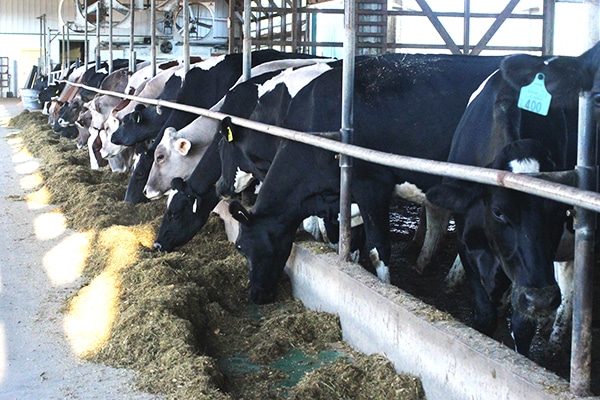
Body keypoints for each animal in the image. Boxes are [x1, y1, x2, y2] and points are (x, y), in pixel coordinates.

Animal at [225, 53, 502, 304]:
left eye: (242, 247)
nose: (256, 296)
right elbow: (343, 237)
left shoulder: (372, 187)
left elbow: (378, 249)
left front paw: (384, 288)